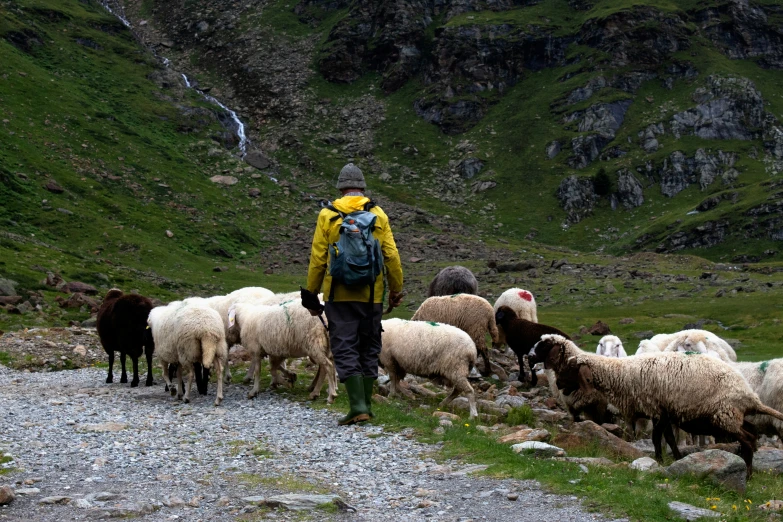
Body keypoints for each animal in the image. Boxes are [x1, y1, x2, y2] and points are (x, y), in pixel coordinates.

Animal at [528, 334, 783, 476]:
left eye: (571, 368)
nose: (559, 383)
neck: (624, 373)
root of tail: (748, 395)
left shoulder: (656, 410)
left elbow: (656, 438)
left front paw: (660, 459)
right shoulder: (664, 412)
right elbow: (668, 438)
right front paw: (675, 457)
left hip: (724, 415)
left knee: (748, 439)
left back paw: (748, 473)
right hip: (733, 416)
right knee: (751, 434)